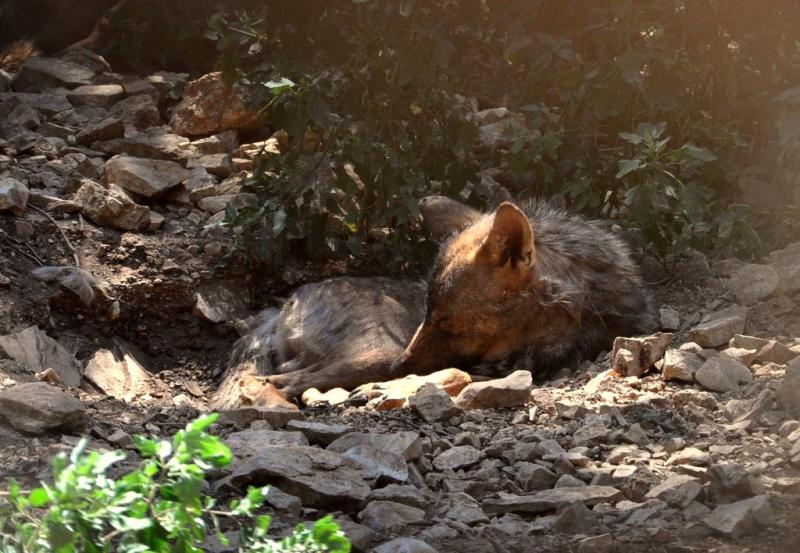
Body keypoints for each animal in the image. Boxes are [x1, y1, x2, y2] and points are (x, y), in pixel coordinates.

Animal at [211, 197, 656, 407]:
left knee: (289, 377)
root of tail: (284, 305)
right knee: (282, 381)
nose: (400, 366)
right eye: (427, 313)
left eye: (447, 322)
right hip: (374, 352)